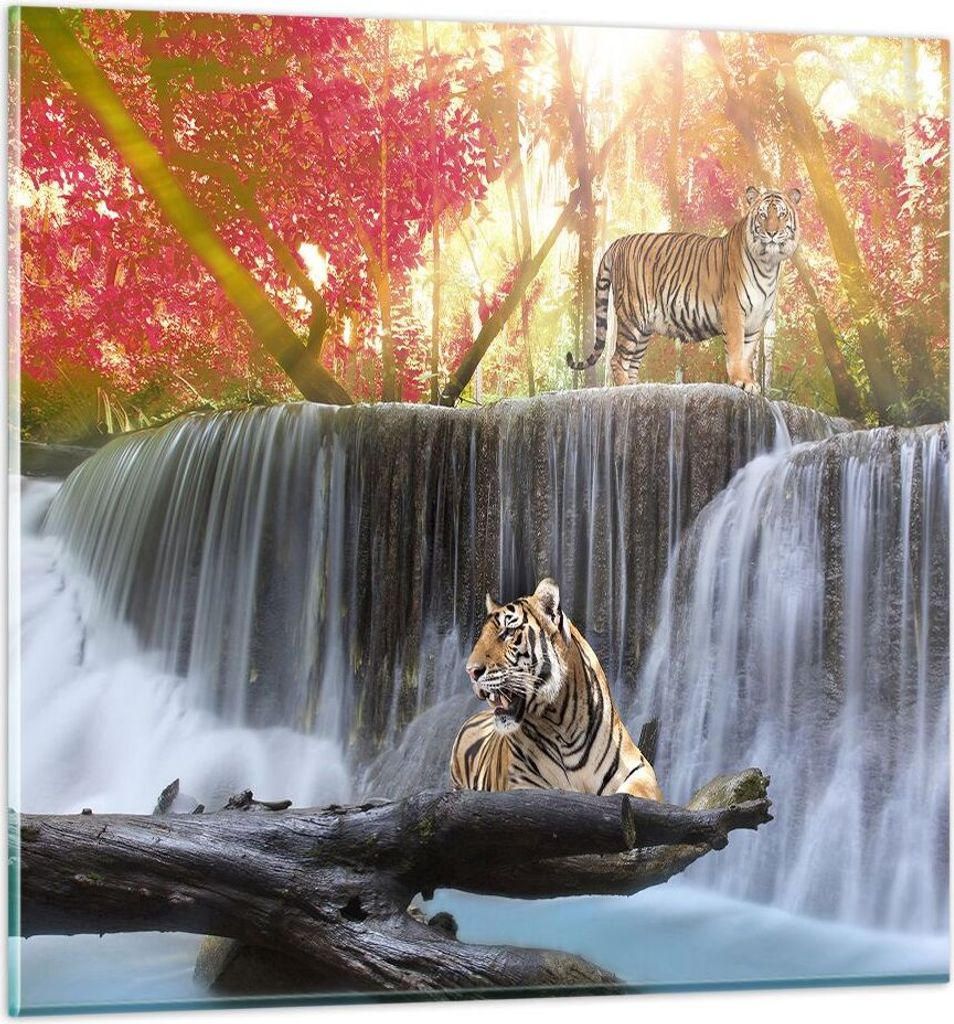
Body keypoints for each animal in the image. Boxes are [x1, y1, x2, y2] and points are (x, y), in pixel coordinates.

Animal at [449, 578, 662, 801]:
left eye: (508, 632)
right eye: (481, 636)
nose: (470, 671)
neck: (561, 724)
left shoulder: (640, 769)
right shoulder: (523, 784)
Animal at [566, 186, 802, 393]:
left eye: (782, 214)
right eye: (763, 215)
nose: (772, 233)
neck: (768, 264)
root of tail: (618, 243)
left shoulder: (756, 321)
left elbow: (746, 354)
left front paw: (748, 382)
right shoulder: (734, 311)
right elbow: (736, 351)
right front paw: (741, 381)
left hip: (644, 328)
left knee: (631, 364)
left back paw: (638, 389)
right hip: (632, 316)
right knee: (618, 359)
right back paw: (625, 391)